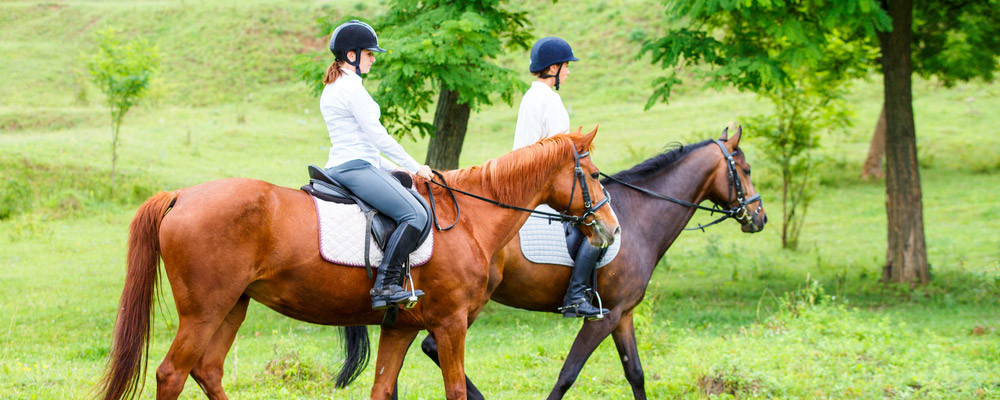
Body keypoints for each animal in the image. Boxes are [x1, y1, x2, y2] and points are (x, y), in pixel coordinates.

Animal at [99, 129, 616, 400]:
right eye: (592, 175)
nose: (610, 230)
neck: (469, 219)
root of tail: (181, 195)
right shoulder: (450, 324)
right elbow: (454, 390)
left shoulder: (402, 327)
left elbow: (382, 389)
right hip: (204, 311)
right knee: (172, 374)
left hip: (233, 306)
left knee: (207, 370)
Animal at [410, 126, 768, 398]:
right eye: (747, 170)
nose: (760, 217)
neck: (639, 217)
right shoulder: (602, 318)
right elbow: (567, 374)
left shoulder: (623, 314)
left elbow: (635, 372)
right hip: (466, 304)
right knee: (433, 345)